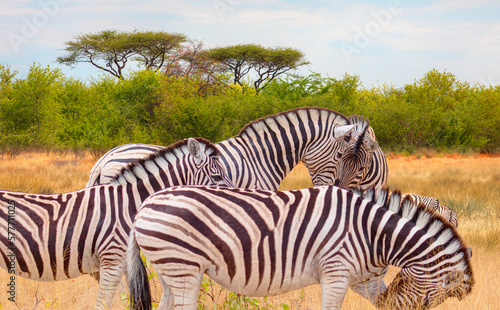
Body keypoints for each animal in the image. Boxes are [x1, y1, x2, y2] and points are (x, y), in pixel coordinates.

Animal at [0, 139, 234, 310]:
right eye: (216, 176)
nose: (233, 198)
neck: (130, 203)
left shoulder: (119, 262)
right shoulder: (111, 259)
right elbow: (104, 304)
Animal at [125, 185, 472, 308]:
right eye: (430, 300)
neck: (371, 233)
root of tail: (145, 204)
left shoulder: (363, 279)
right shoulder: (336, 272)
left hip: (171, 270)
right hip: (183, 267)